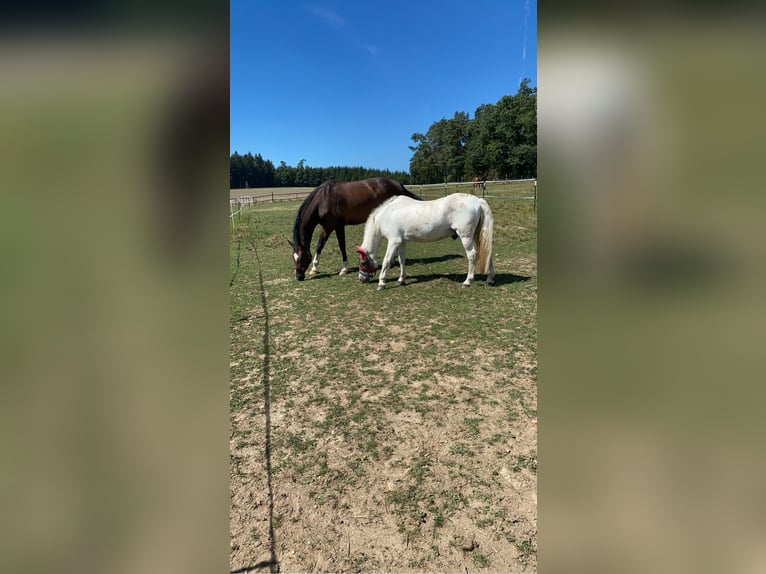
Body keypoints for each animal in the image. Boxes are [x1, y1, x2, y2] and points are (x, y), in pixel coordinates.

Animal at [289, 177, 421, 281]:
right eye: (293, 258)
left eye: (302, 257)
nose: (298, 277)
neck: (323, 199)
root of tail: (398, 185)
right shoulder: (327, 227)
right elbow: (319, 245)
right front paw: (314, 268)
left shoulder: (338, 226)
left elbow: (342, 245)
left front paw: (344, 268)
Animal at [355, 193, 495, 290]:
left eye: (363, 263)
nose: (361, 279)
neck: (387, 214)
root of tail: (477, 200)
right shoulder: (402, 242)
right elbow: (402, 260)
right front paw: (401, 279)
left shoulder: (394, 241)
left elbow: (386, 261)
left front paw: (381, 283)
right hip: (476, 236)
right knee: (488, 254)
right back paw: (490, 280)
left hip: (466, 237)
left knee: (472, 255)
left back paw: (468, 281)